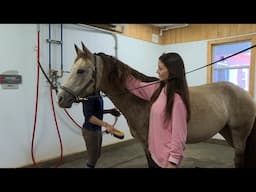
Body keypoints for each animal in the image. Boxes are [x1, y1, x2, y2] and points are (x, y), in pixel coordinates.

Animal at [57, 42, 256, 168]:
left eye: (81, 71)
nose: (60, 98)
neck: (142, 102)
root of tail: (244, 94)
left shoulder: (152, 145)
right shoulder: (146, 146)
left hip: (239, 136)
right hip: (228, 132)